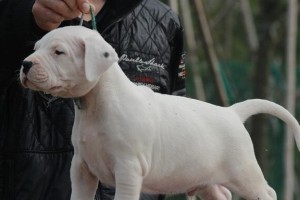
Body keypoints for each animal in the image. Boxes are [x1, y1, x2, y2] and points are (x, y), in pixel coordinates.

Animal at [19, 26, 298, 200]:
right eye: (36, 47)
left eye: (58, 52)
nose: (25, 64)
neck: (98, 104)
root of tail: (232, 113)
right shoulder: (81, 169)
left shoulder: (128, 170)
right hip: (207, 179)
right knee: (222, 194)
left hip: (245, 173)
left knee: (267, 193)